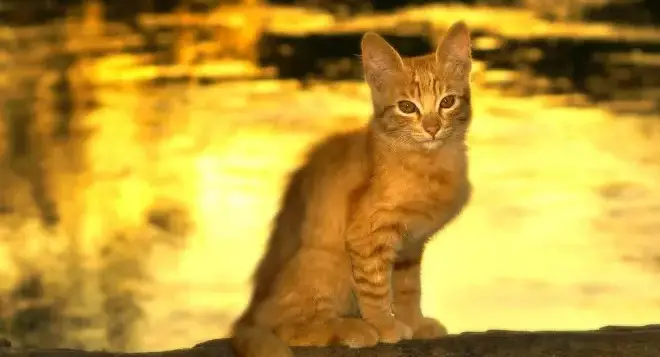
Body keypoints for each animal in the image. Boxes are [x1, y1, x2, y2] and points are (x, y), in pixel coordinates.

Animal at [229, 20, 472, 356]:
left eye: (447, 102)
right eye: (407, 107)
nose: (432, 127)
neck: (429, 161)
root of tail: (249, 313)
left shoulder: (410, 246)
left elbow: (408, 288)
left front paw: (415, 323)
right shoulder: (367, 236)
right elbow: (377, 289)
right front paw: (384, 326)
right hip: (326, 261)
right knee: (287, 328)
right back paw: (350, 329)